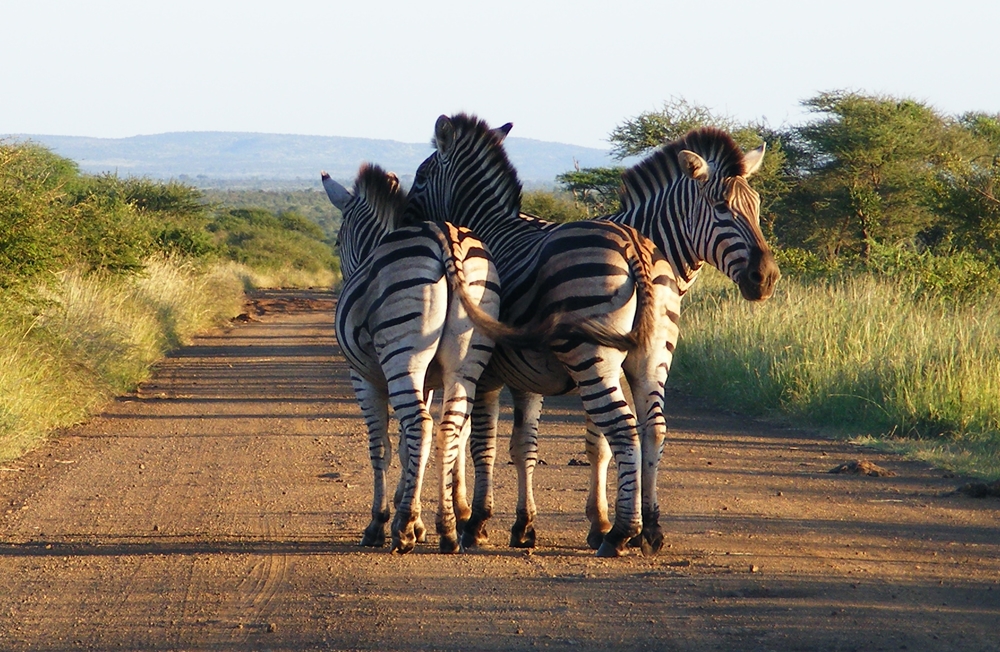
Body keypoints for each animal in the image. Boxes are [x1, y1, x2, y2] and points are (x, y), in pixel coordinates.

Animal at [323, 162, 508, 553]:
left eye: (337, 240)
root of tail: (446, 237)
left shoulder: (365, 378)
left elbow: (381, 446)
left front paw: (382, 522)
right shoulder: (429, 382)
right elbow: (408, 448)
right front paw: (419, 519)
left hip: (401, 357)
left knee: (422, 425)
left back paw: (403, 529)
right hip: (466, 360)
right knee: (449, 427)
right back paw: (448, 529)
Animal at [404, 113, 681, 557]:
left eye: (423, 174)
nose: (403, 218)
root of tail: (632, 244)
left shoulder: (487, 374)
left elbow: (482, 444)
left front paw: (475, 524)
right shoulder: (524, 377)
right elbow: (522, 447)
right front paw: (522, 527)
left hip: (592, 355)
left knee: (624, 429)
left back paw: (620, 534)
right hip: (654, 357)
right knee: (653, 428)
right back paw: (651, 531)